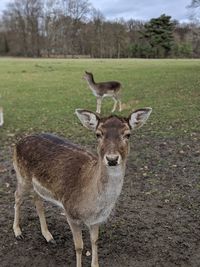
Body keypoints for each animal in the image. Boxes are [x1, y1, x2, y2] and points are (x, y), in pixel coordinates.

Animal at [12, 107, 152, 267]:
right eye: (98, 134)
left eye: (128, 134)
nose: (112, 159)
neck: (93, 205)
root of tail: (18, 141)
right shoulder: (70, 213)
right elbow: (79, 246)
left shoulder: (97, 220)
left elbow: (95, 241)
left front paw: (95, 264)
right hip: (22, 176)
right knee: (17, 196)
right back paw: (18, 232)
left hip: (36, 185)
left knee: (38, 201)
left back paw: (48, 236)